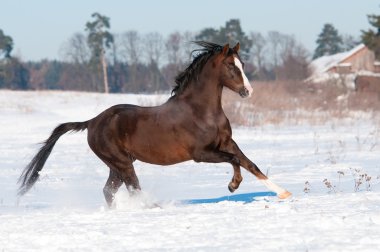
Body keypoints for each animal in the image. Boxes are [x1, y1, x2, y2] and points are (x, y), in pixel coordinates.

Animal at [17, 41, 290, 207]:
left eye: (242, 65)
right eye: (231, 66)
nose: (248, 91)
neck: (201, 111)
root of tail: (92, 122)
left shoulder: (227, 142)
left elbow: (250, 163)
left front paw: (283, 192)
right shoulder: (201, 154)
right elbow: (235, 161)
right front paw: (233, 186)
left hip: (117, 165)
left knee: (110, 190)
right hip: (122, 163)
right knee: (133, 187)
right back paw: (154, 206)